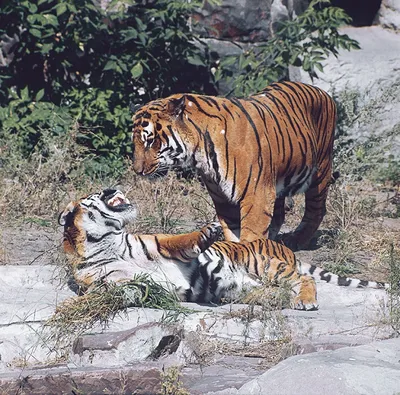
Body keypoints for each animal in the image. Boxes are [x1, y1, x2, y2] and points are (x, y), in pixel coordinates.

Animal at [130, 81, 334, 249]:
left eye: (149, 141)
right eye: (135, 142)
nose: (137, 171)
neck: (201, 153)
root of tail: (322, 91)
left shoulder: (256, 195)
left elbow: (251, 236)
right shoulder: (223, 198)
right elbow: (233, 233)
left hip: (321, 170)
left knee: (317, 209)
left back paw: (297, 240)